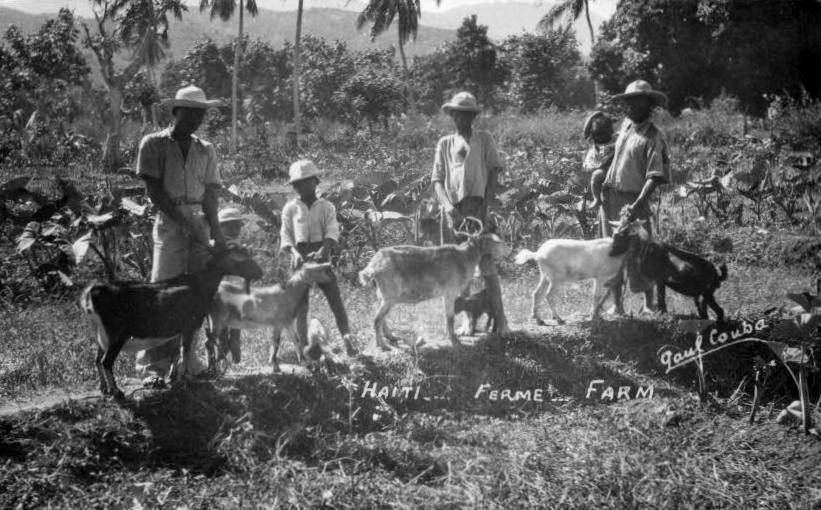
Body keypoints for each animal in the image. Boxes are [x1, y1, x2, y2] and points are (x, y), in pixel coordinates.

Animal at [79, 245, 262, 400]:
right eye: (240, 258)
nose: (260, 272)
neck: (199, 283)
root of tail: (94, 291)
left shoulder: (177, 328)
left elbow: (175, 351)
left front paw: (174, 377)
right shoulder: (191, 325)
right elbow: (186, 351)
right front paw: (187, 378)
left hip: (101, 334)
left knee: (97, 359)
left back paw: (104, 388)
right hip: (116, 334)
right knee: (106, 361)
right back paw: (116, 391)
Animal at [208, 262, 336, 370]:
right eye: (318, 269)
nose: (331, 278)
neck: (287, 294)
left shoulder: (288, 322)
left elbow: (296, 340)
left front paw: (304, 362)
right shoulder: (278, 323)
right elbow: (276, 343)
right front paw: (274, 365)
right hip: (218, 319)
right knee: (210, 341)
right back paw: (213, 368)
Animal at [358, 232, 506, 348]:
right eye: (493, 241)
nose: (505, 248)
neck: (464, 257)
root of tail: (374, 264)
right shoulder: (450, 293)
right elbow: (450, 317)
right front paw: (453, 339)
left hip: (382, 296)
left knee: (382, 318)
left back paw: (391, 337)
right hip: (389, 297)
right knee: (377, 319)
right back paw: (381, 345)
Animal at [516, 220, 644, 324]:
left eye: (624, 232)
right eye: (617, 233)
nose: (613, 251)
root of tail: (538, 254)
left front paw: (597, 316)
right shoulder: (600, 277)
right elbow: (596, 295)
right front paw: (594, 317)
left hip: (545, 275)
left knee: (537, 293)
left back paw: (539, 319)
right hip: (557, 278)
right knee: (549, 295)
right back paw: (559, 319)